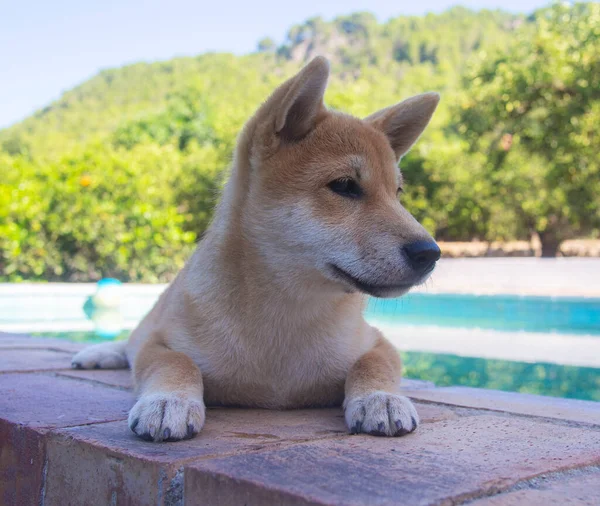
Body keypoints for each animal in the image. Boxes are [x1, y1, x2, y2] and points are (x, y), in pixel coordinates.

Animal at [74, 56, 440, 442]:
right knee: (131, 342)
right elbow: (175, 362)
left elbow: (372, 363)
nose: (430, 253)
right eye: (344, 186)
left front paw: (381, 398)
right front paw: (167, 400)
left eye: (397, 194)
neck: (285, 320)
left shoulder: (375, 341)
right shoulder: (161, 341)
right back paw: (100, 353)